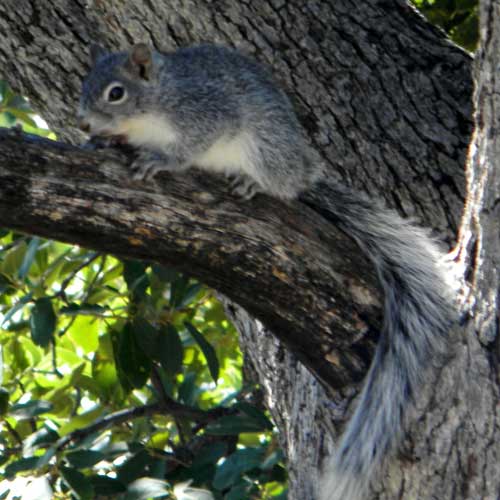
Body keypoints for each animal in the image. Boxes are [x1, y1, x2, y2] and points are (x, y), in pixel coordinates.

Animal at [79, 44, 458, 500]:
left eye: (116, 93)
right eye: (85, 83)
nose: (83, 121)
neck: (155, 102)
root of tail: (303, 170)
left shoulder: (206, 111)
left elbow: (190, 146)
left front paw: (160, 159)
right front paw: (104, 138)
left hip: (265, 147)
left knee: (279, 185)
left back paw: (251, 183)